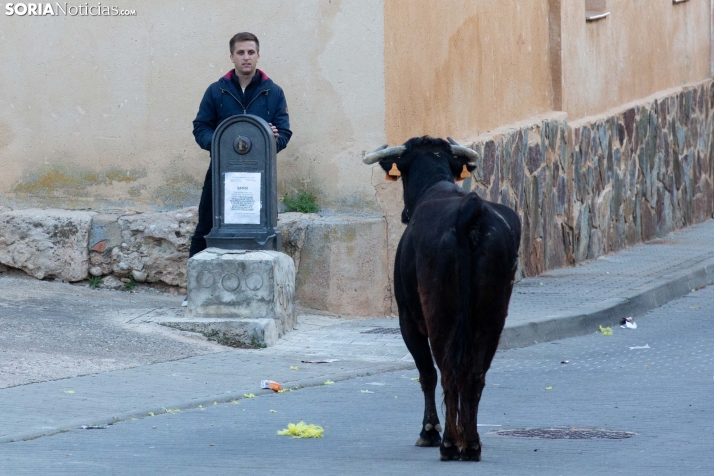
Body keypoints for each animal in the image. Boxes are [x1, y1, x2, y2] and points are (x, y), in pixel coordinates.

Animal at [362, 137, 516, 462]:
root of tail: (470, 210)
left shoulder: (408, 320)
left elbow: (425, 373)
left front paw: (429, 430)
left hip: (439, 315)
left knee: (446, 372)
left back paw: (448, 443)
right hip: (492, 317)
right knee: (475, 374)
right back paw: (471, 443)